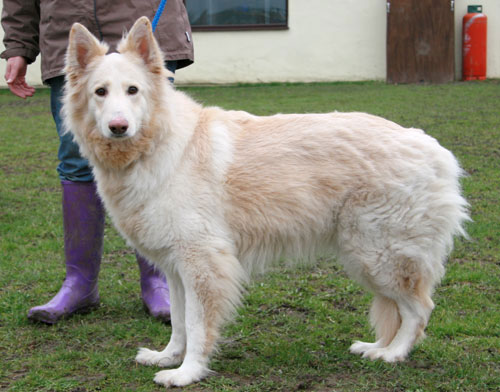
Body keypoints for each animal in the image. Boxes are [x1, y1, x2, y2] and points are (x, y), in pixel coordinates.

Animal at [62, 17, 468, 386]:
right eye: (100, 92)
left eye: (133, 90)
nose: (118, 127)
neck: (156, 146)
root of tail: (432, 147)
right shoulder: (176, 269)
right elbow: (178, 322)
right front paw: (168, 357)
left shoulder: (202, 263)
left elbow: (197, 324)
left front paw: (187, 373)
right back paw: (380, 348)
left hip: (376, 257)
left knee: (419, 308)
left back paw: (393, 353)